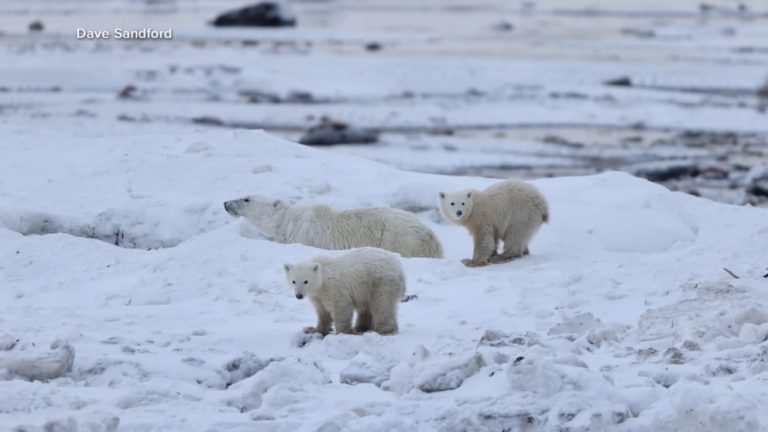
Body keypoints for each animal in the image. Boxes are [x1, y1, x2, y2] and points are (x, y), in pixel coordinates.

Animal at [224, 196, 443, 258]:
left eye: (246, 198)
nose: (226, 203)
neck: (287, 220)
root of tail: (431, 236)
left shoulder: (304, 235)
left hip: (400, 238)